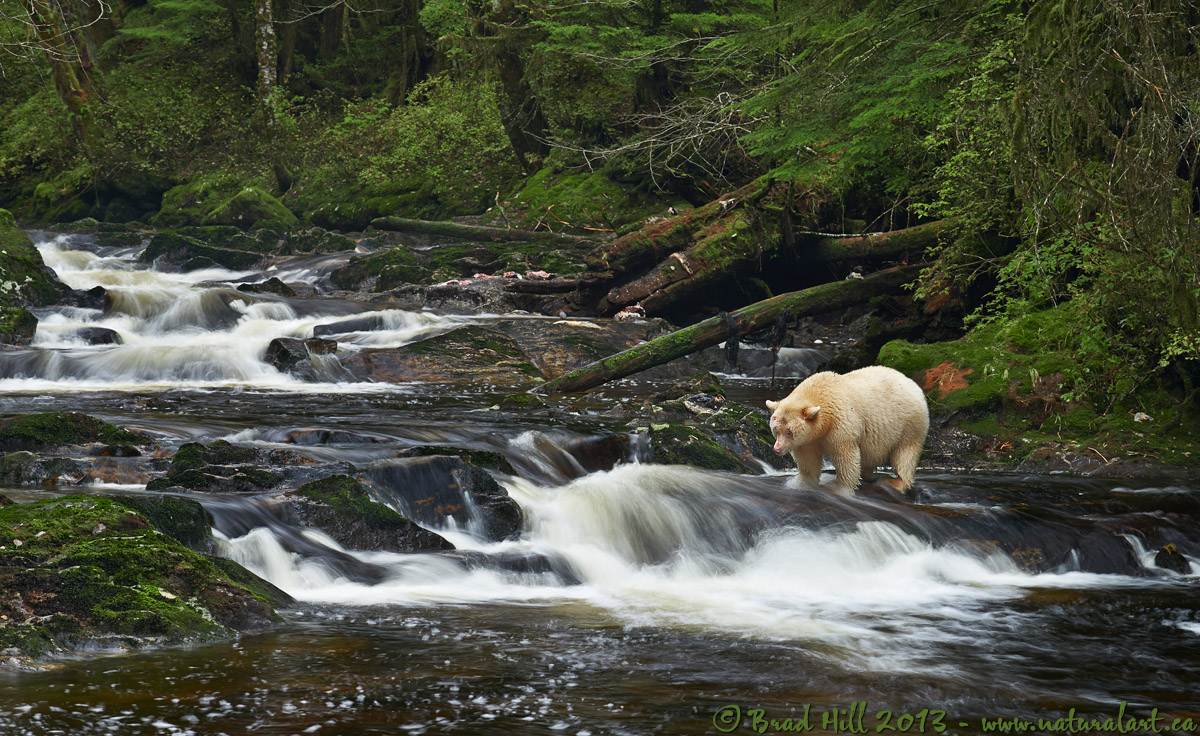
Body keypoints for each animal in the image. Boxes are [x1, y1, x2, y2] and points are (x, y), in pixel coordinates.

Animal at [765, 365, 929, 495]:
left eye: (789, 432)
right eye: (776, 430)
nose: (777, 449)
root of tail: (912, 383)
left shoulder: (841, 424)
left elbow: (845, 455)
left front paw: (840, 488)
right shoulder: (809, 439)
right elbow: (808, 458)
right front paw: (802, 483)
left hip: (909, 424)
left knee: (905, 453)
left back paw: (897, 483)